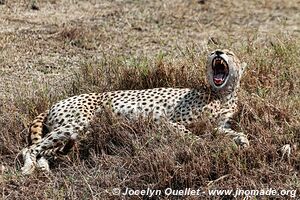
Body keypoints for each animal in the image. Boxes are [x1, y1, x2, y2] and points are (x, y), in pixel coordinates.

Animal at [21, 49, 248, 174]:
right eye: (213, 52)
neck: (221, 95)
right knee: (29, 148)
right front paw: (205, 145)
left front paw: (243, 142)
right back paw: (28, 169)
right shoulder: (167, 121)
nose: (218, 52)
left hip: (80, 130)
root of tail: (55, 102)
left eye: (229, 53)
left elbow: (233, 132)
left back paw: (43, 167)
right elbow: (191, 135)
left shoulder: (217, 126)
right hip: (77, 123)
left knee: (45, 148)